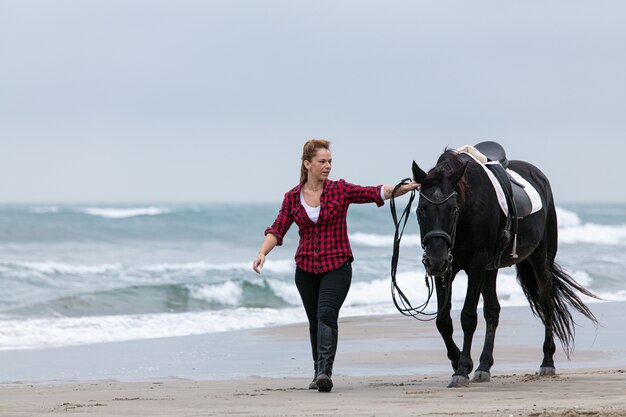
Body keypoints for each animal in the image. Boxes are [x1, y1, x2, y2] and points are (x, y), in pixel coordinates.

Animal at [410, 145, 596, 386]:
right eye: (421, 209)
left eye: (452, 209)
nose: (434, 260)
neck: (466, 211)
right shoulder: (447, 270)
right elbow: (443, 321)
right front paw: (460, 362)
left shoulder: (476, 264)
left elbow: (468, 317)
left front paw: (461, 369)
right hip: (490, 269)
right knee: (493, 311)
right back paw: (483, 366)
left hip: (540, 260)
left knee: (547, 303)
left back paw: (547, 362)